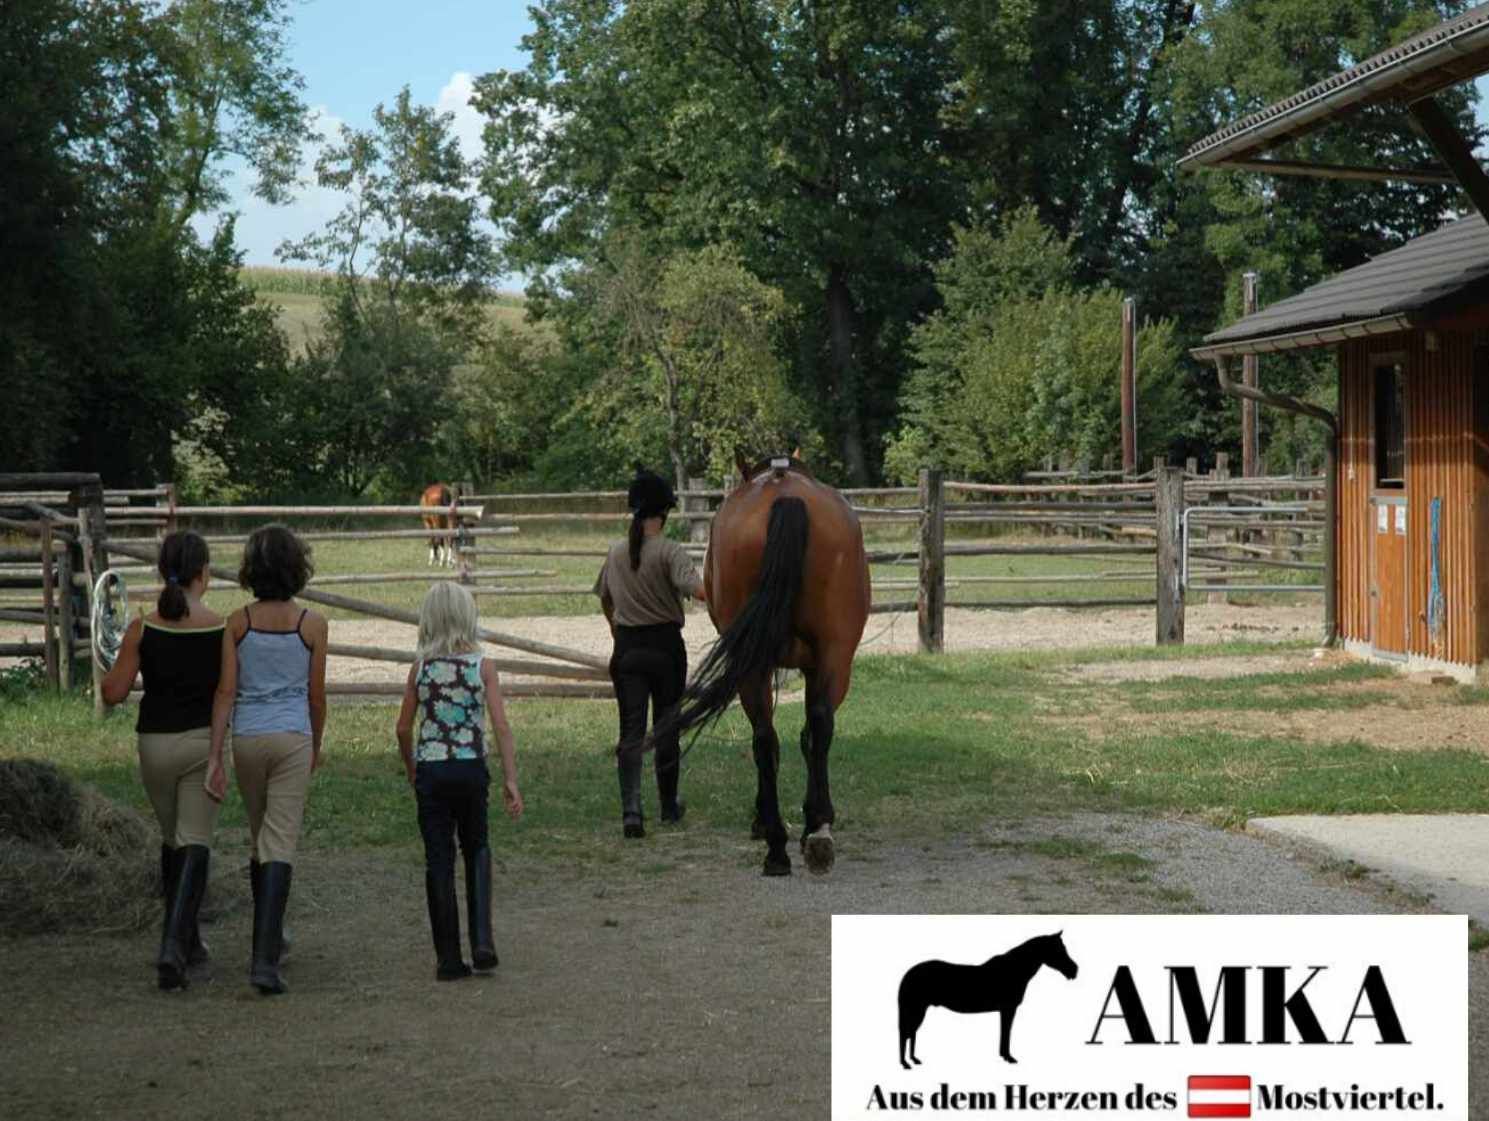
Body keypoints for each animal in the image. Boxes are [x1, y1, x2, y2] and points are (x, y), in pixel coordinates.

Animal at [652, 450, 870, 877]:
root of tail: (786, 496)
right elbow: (808, 734)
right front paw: (813, 817)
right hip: (833, 655)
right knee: (804, 728)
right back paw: (806, 840)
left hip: (765, 665)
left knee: (768, 736)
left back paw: (782, 842)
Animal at [897, 932, 1079, 1069]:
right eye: (1059, 950)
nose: (1074, 970)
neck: (1013, 970)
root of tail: (908, 974)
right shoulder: (1008, 1009)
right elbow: (1006, 1032)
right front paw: (1008, 1057)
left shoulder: (1005, 1010)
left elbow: (1005, 1032)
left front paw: (1004, 1056)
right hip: (916, 1009)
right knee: (906, 1033)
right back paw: (905, 1064)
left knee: (911, 1033)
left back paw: (914, 1060)